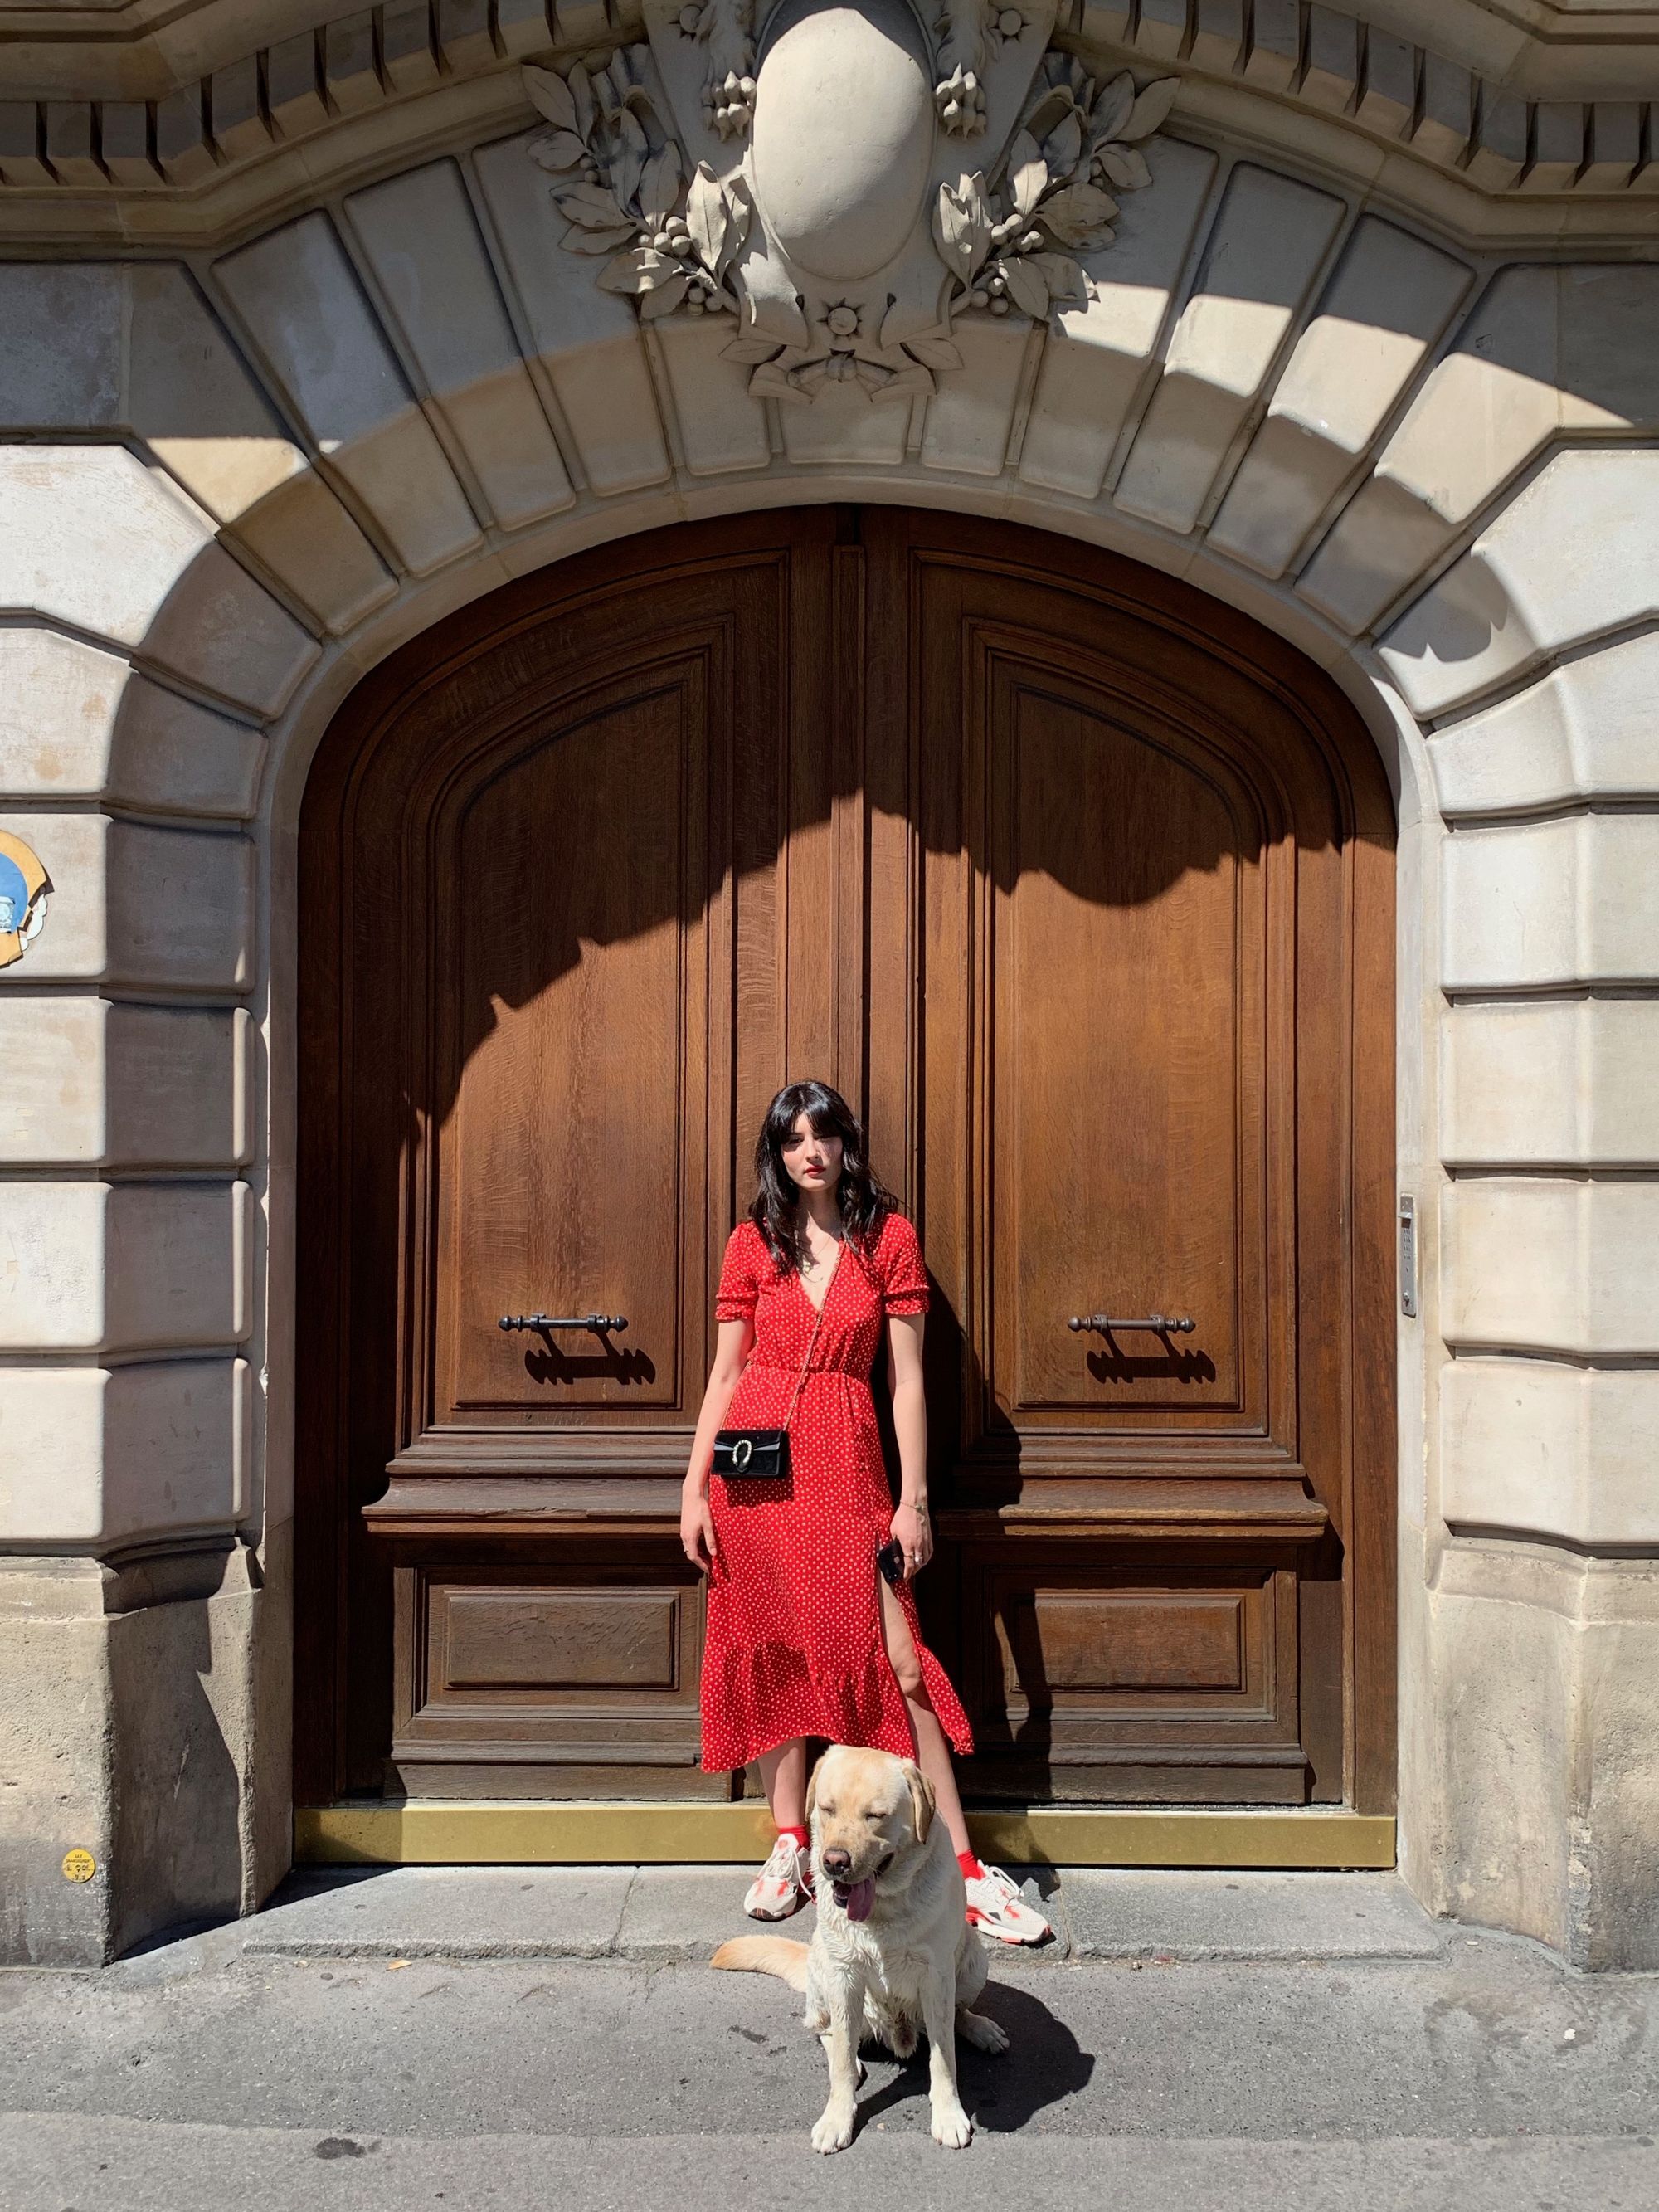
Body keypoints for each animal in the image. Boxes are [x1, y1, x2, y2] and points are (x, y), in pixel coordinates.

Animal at [708, 1742, 1009, 2141]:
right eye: (827, 1809)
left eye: (876, 1816)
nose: (834, 1862)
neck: (883, 1909)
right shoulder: (844, 1976)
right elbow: (841, 2061)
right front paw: (838, 2117)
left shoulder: (937, 1976)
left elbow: (944, 2057)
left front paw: (947, 2115)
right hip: (826, 1973)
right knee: (826, 2031)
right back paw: (848, 2058)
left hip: (973, 1960)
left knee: (958, 2013)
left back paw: (981, 2028)